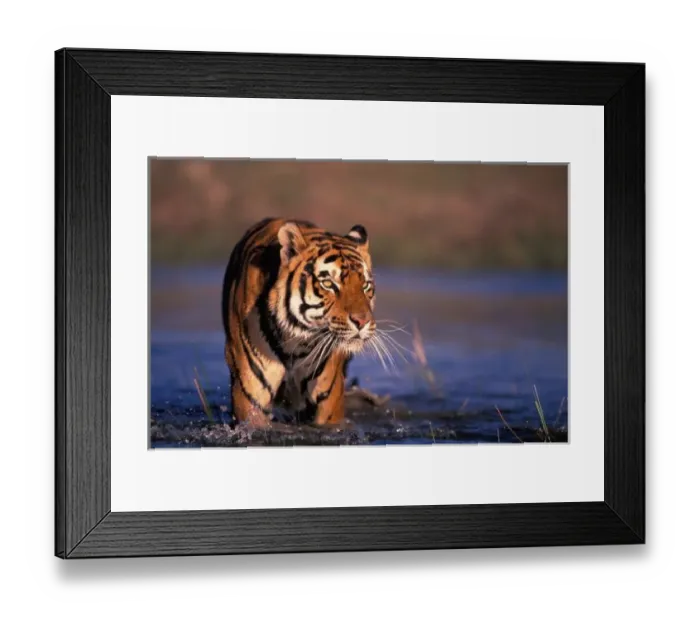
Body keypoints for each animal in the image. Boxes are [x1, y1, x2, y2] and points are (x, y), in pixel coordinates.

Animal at [221, 218, 376, 428]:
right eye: (328, 284)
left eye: (365, 285)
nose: (362, 321)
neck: (296, 342)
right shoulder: (250, 392)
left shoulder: (329, 395)